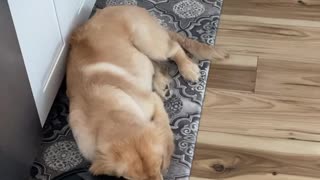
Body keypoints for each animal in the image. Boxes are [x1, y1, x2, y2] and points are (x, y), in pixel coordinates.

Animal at [67, 4, 228, 179]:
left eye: (160, 165)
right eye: (133, 179)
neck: (109, 114)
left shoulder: (152, 101)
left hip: (147, 41)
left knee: (174, 49)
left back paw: (188, 69)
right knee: (153, 63)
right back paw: (162, 84)